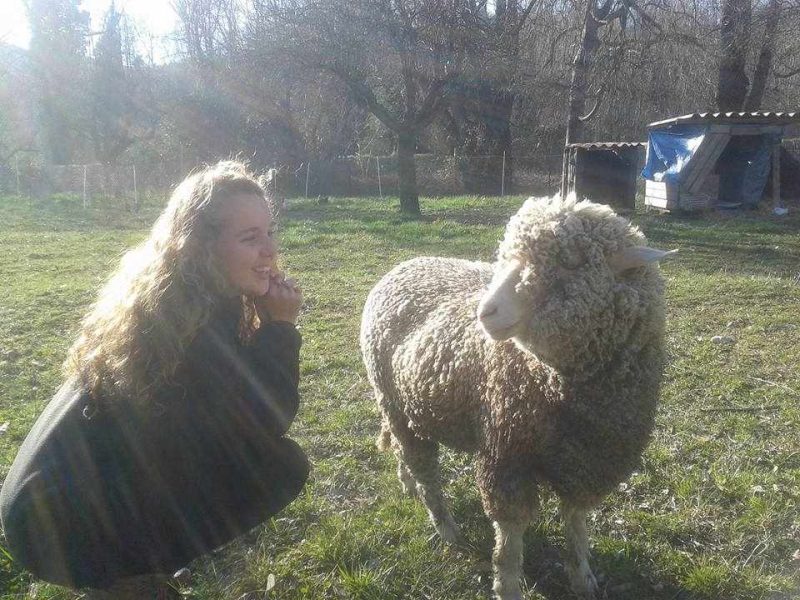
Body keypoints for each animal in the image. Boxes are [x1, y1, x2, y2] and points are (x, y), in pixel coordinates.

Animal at [360, 194, 673, 600]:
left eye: (569, 261)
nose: (485, 312)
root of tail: (405, 265)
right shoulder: (507, 453)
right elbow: (509, 536)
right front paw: (507, 584)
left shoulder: (585, 461)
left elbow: (576, 523)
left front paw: (582, 576)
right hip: (394, 402)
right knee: (424, 468)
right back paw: (446, 527)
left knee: (405, 453)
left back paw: (408, 484)